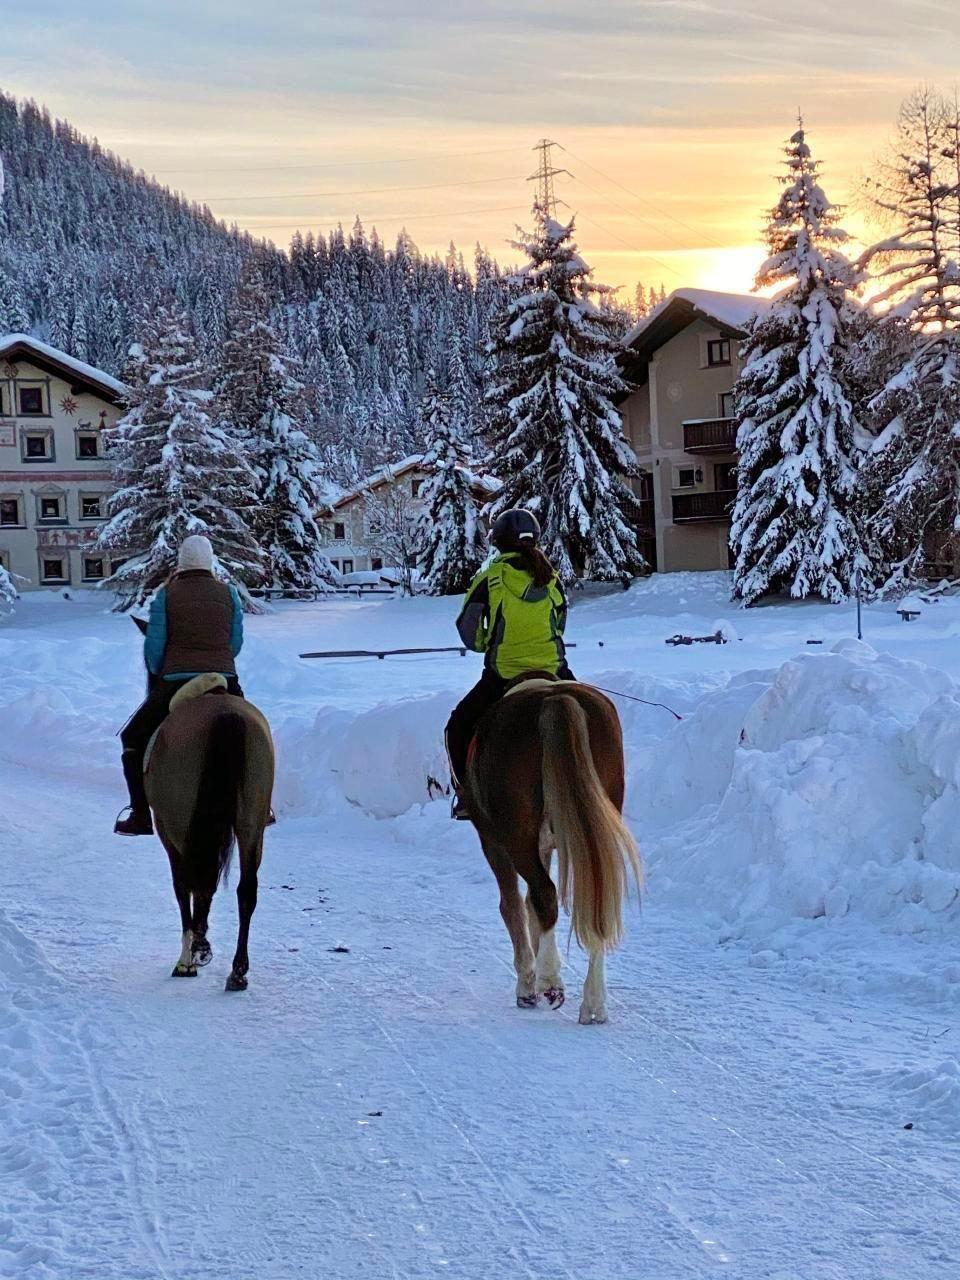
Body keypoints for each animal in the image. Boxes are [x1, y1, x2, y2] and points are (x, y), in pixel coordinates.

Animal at [131, 617, 275, 991]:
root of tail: (224, 714)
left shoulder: (169, 832)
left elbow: (184, 887)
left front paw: (190, 957)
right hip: (251, 822)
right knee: (246, 890)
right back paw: (237, 971)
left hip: (181, 824)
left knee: (195, 882)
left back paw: (194, 954)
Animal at [463, 678, 642, 1024]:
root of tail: (554, 699)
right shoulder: (544, 846)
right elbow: (529, 906)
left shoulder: (493, 843)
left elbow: (513, 907)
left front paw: (526, 984)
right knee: (595, 897)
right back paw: (594, 1002)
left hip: (517, 836)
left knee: (544, 894)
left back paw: (549, 981)